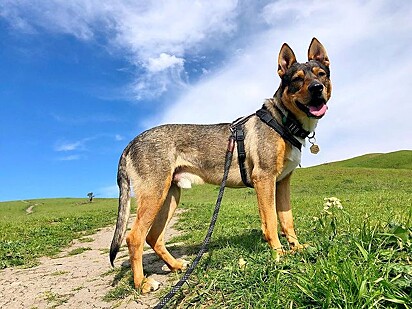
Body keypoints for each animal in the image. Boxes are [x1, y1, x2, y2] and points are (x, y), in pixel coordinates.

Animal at [108, 37, 332, 292]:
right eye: (297, 79)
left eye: (321, 74)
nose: (317, 88)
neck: (284, 121)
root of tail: (131, 142)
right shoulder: (264, 179)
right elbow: (272, 223)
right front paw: (279, 255)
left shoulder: (282, 182)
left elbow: (287, 220)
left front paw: (297, 248)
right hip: (154, 194)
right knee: (134, 237)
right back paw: (141, 284)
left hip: (169, 196)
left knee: (153, 237)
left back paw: (175, 266)